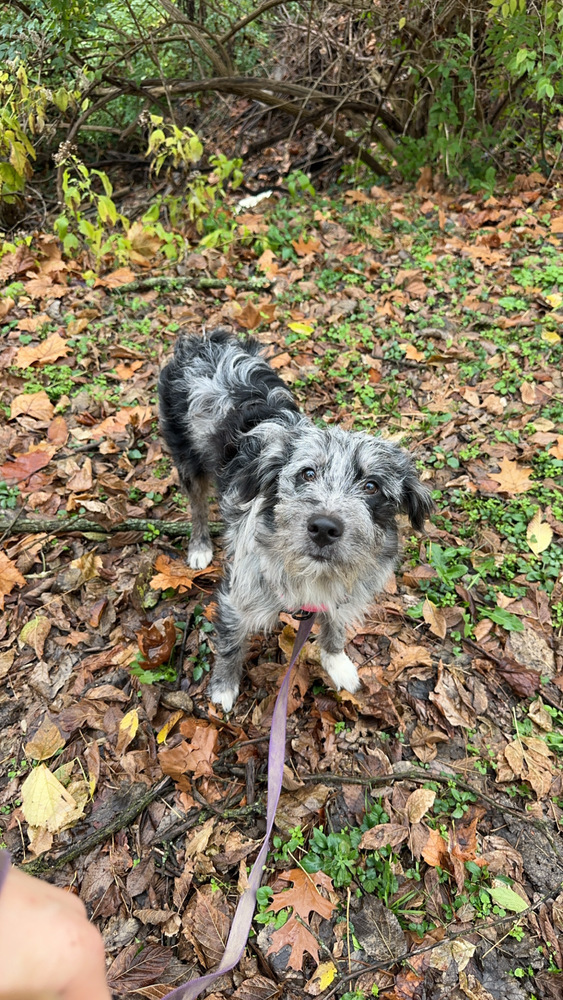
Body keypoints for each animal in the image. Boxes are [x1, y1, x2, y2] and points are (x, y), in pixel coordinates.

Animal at [159, 332, 432, 716]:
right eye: (307, 473)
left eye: (371, 487)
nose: (324, 527)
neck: (311, 574)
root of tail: (203, 341)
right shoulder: (238, 596)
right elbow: (230, 645)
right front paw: (224, 687)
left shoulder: (340, 595)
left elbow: (334, 627)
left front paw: (336, 661)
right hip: (188, 461)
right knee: (197, 507)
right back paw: (199, 546)